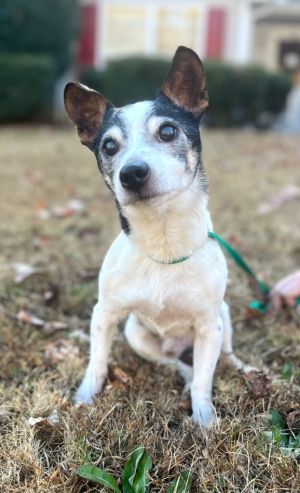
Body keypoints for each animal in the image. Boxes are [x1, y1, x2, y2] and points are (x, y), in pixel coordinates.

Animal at [64, 48, 252, 428]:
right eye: (109, 146)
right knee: (174, 363)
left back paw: (242, 369)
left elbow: (205, 381)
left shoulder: (208, 326)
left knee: (221, 356)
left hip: (222, 319)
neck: (163, 243)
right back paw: (181, 371)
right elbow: (97, 361)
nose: (132, 173)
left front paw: (205, 421)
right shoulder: (104, 315)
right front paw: (85, 397)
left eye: (167, 131)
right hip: (137, 335)